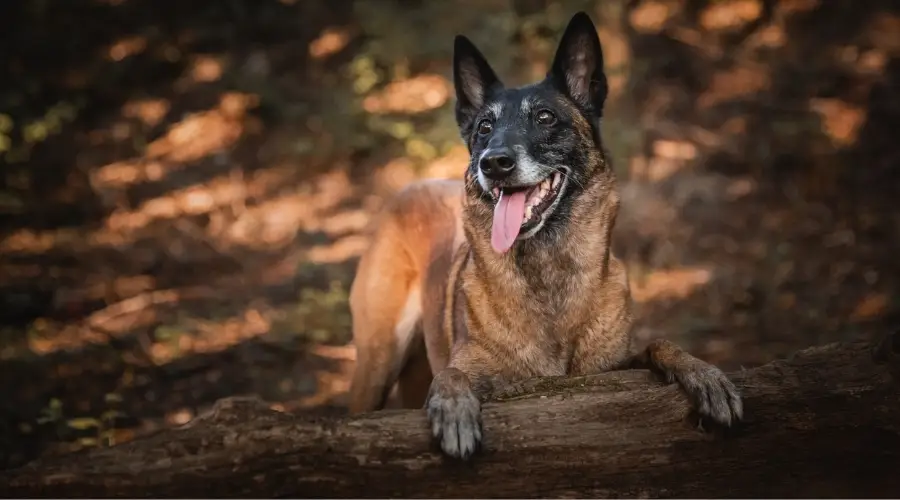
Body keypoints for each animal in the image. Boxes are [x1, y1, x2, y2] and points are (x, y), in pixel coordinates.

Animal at [348, 10, 740, 460]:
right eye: (485, 127)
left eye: (545, 118)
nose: (493, 163)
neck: (548, 266)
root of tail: (411, 186)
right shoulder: (471, 368)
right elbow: (450, 375)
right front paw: (453, 408)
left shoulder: (613, 368)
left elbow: (660, 343)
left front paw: (706, 375)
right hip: (377, 360)